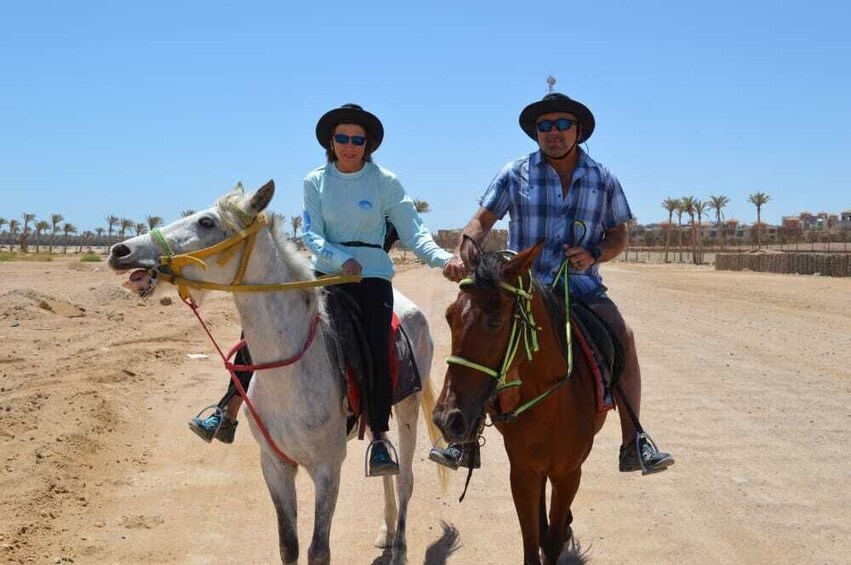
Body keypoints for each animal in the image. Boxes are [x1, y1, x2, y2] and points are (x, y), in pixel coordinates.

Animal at [109, 181, 442, 564]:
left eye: (207, 222)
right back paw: (385, 531)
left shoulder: (328, 469)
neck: (289, 376)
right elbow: (288, 545)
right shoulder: (274, 465)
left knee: (405, 478)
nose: (120, 250)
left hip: (407, 407)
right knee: (387, 465)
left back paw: (399, 547)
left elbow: (318, 550)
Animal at [436, 240, 608, 560]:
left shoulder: (569, 473)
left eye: (495, 322)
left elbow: (552, 542)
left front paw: (560, 529)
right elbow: (533, 542)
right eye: (449, 316)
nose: (446, 419)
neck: (551, 404)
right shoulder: (522, 472)